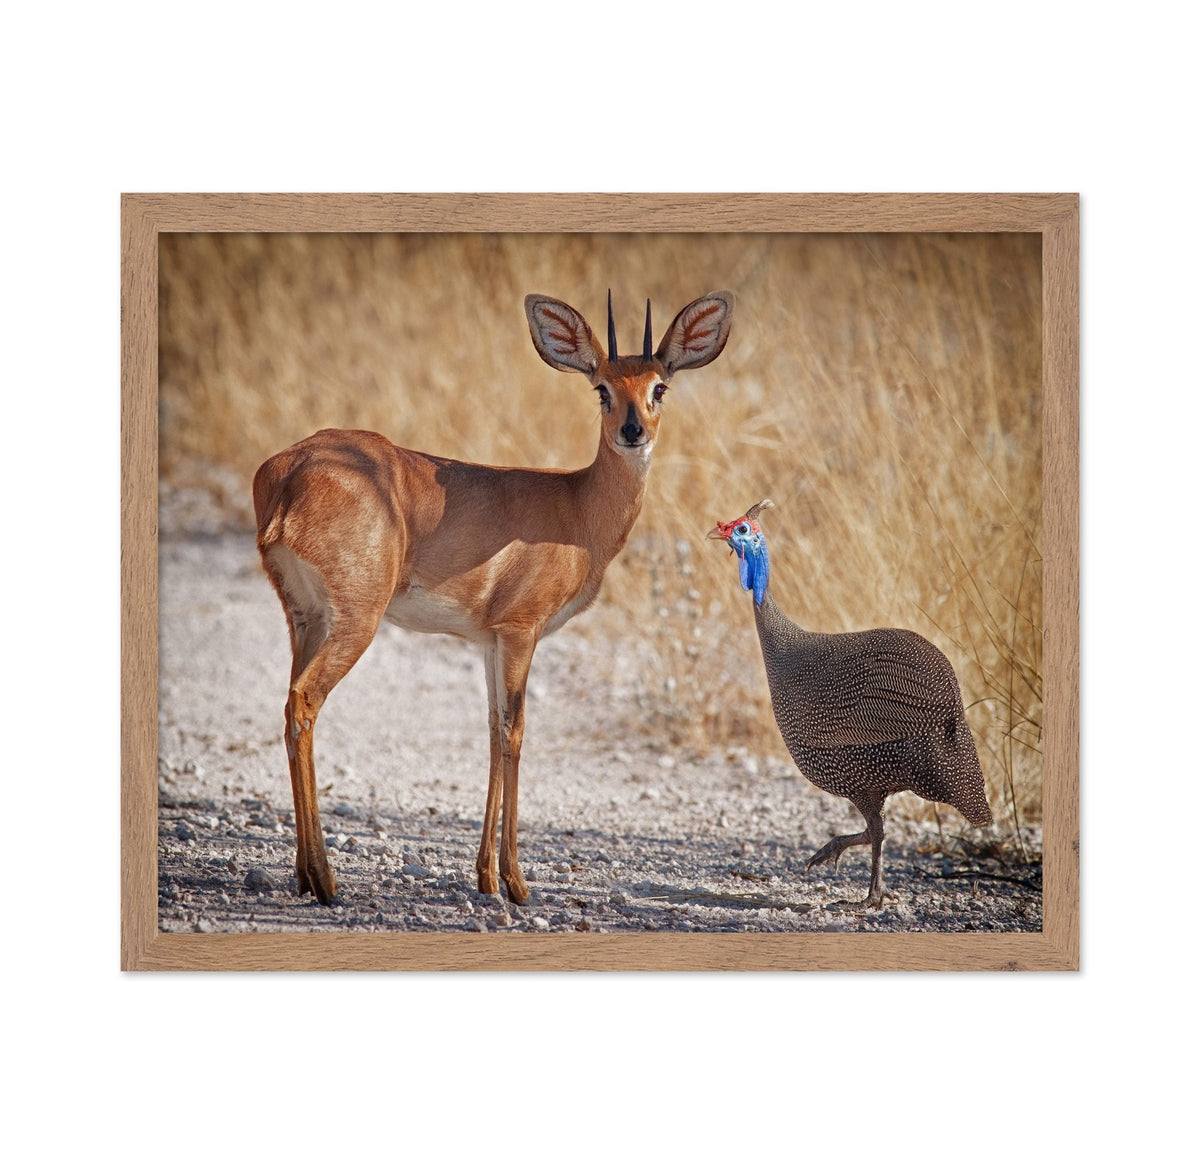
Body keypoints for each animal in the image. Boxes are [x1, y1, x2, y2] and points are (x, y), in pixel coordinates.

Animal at [252, 289, 735, 904]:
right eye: (602, 387)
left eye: (659, 387)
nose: (633, 431)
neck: (577, 509)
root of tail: (288, 473)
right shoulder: (521, 632)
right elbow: (515, 731)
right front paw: (517, 881)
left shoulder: (487, 640)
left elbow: (489, 730)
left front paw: (485, 876)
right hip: (356, 620)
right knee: (303, 703)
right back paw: (325, 878)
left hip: (305, 617)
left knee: (289, 704)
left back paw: (301, 873)